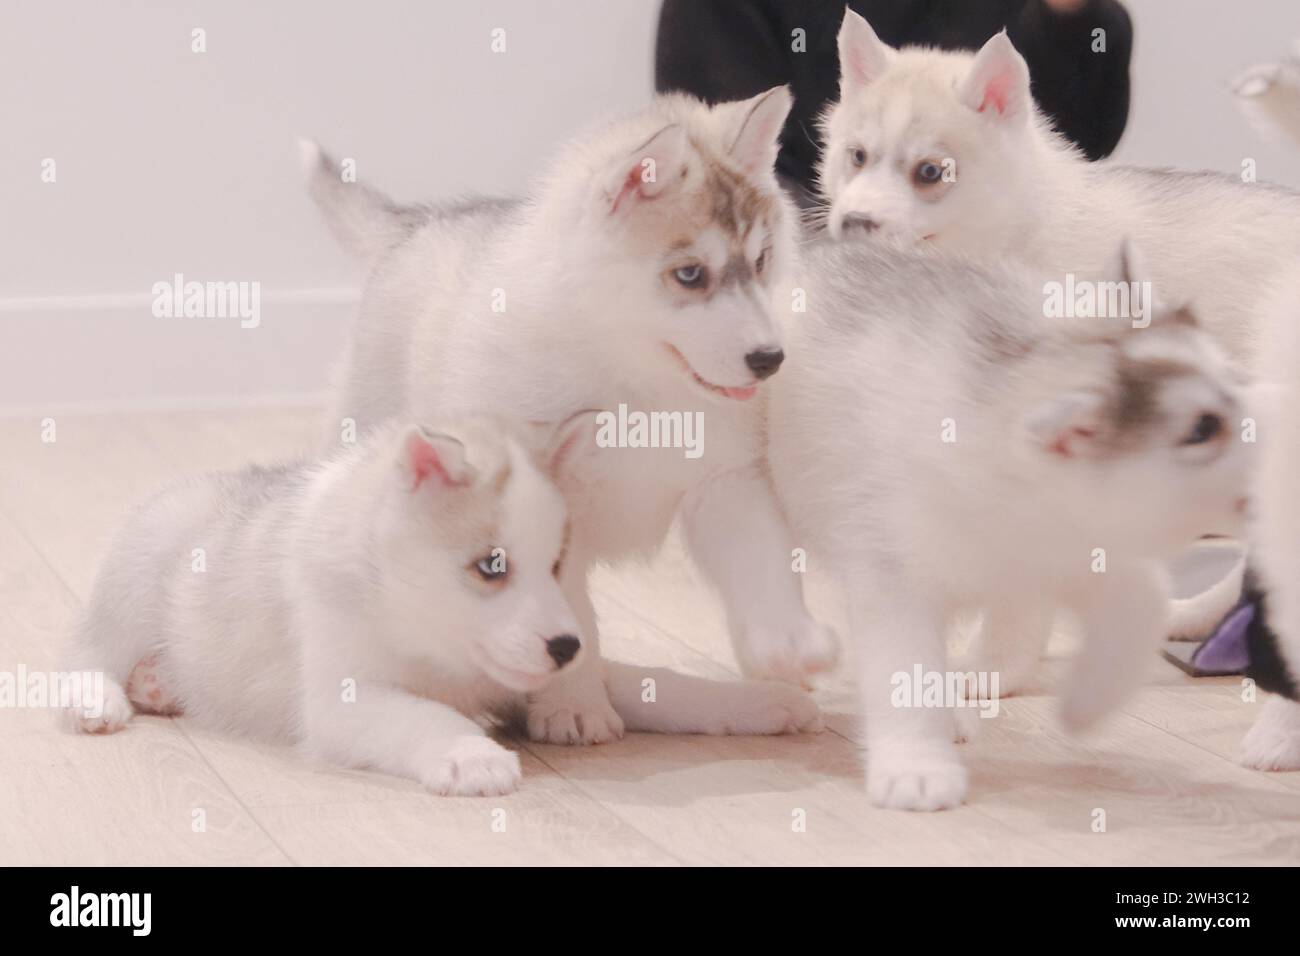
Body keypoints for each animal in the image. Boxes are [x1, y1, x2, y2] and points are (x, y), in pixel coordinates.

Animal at [305, 89, 832, 743]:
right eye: (690, 274)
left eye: (762, 260)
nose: (769, 359)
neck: (638, 384)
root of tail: (418, 224)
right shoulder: (554, 503)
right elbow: (570, 611)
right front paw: (574, 703)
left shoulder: (725, 477)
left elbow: (761, 559)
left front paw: (788, 645)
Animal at [769, 243, 1248, 811]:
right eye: (1203, 429)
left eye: (1236, 381)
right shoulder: (890, 574)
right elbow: (902, 670)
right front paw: (915, 766)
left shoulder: (1085, 555)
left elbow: (1140, 604)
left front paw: (1087, 702)